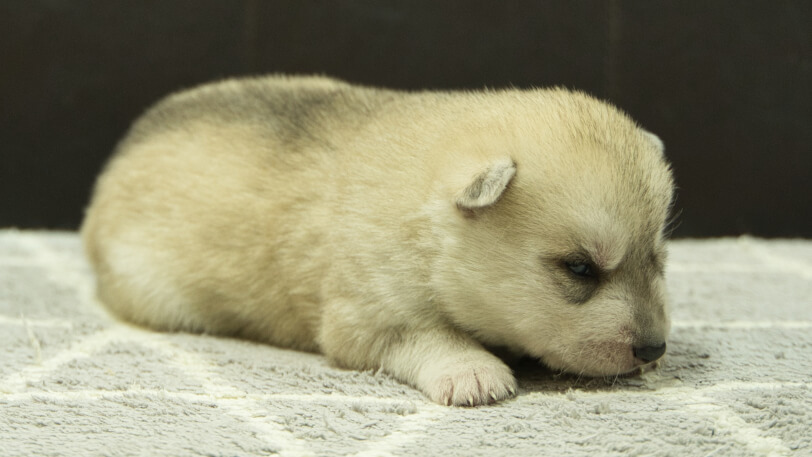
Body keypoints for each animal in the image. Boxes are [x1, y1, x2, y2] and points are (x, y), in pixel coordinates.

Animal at [84, 75, 680, 406]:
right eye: (579, 268)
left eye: (657, 257)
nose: (654, 350)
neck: (427, 224)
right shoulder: (368, 317)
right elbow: (431, 336)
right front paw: (473, 371)